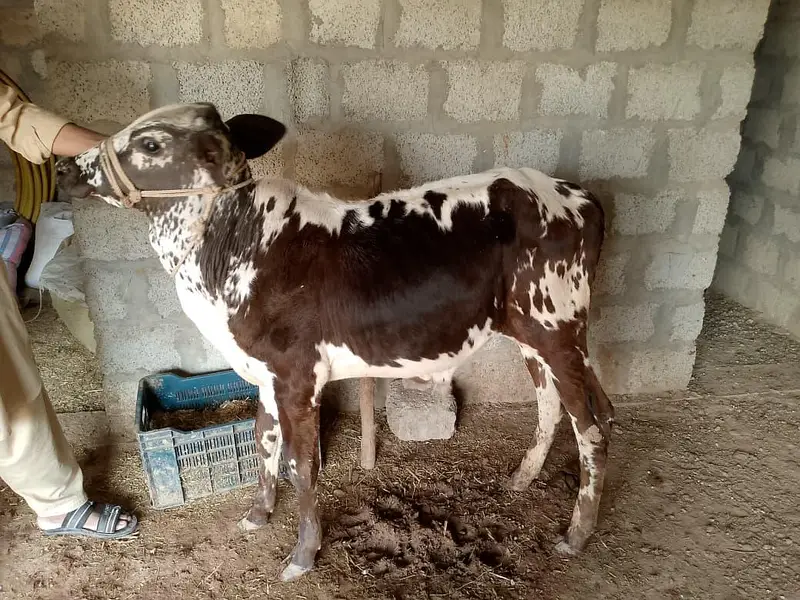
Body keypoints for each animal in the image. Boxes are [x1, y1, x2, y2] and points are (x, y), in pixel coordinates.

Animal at [56, 103, 615, 581]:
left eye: (150, 143)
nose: (67, 166)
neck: (227, 254)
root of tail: (573, 193)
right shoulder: (264, 373)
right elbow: (262, 439)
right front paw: (257, 515)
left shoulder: (297, 375)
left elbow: (303, 468)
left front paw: (303, 555)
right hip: (532, 330)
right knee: (558, 405)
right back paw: (523, 479)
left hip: (558, 324)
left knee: (590, 427)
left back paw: (576, 535)